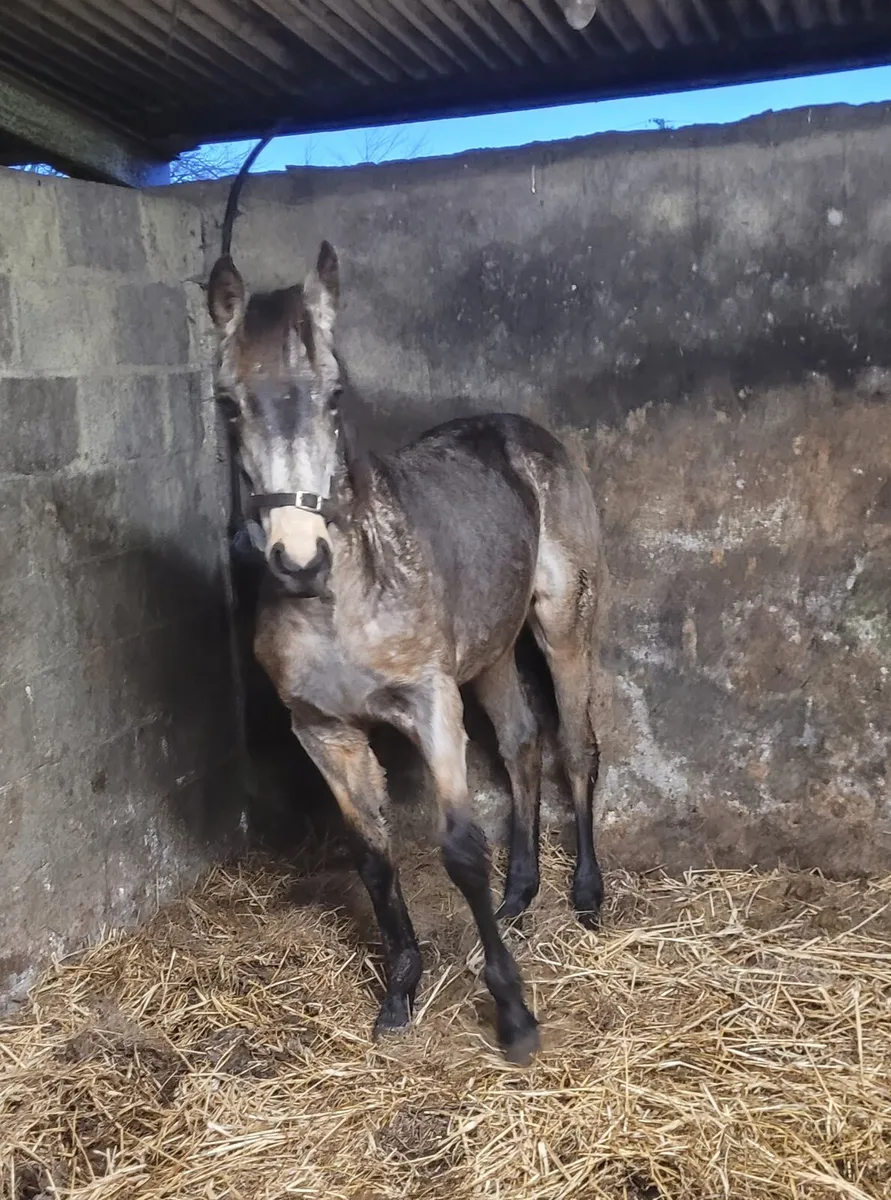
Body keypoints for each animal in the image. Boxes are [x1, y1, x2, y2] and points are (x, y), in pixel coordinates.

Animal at [207, 227, 606, 1065]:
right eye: (228, 404)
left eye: (332, 395)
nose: (298, 559)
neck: (341, 602)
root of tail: (524, 431)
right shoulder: (323, 729)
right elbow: (372, 854)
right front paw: (399, 991)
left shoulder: (429, 704)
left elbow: (458, 848)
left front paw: (513, 1013)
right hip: (489, 651)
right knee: (521, 743)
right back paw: (522, 892)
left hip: (561, 622)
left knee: (574, 744)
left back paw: (587, 894)